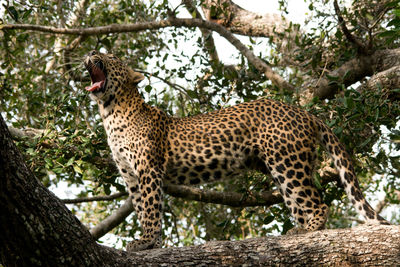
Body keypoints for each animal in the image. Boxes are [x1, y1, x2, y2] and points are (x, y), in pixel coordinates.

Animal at [83, 50, 388, 253]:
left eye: (110, 56)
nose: (91, 53)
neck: (110, 111)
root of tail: (304, 112)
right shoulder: (131, 176)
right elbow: (140, 206)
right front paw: (151, 242)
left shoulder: (148, 170)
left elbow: (149, 208)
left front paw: (146, 242)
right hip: (283, 166)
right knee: (299, 200)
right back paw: (299, 232)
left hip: (287, 161)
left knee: (316, 201)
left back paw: (309, 228)